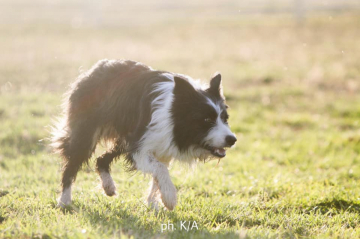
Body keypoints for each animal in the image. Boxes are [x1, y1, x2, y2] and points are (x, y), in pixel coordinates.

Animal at [51, 60, 236, 211]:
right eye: (206, 120)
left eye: (225, 118)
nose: (232, 140)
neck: (173, 114)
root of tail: (93, 70)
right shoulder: (141, 144)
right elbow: (160, 169)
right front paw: (170, 198)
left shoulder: (161, 145)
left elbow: (158, 174)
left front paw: (153, 203)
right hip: (89, 128)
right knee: (73, 161)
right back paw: (64, 201)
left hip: (125, 136)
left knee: (101, 159)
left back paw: (108, 187)